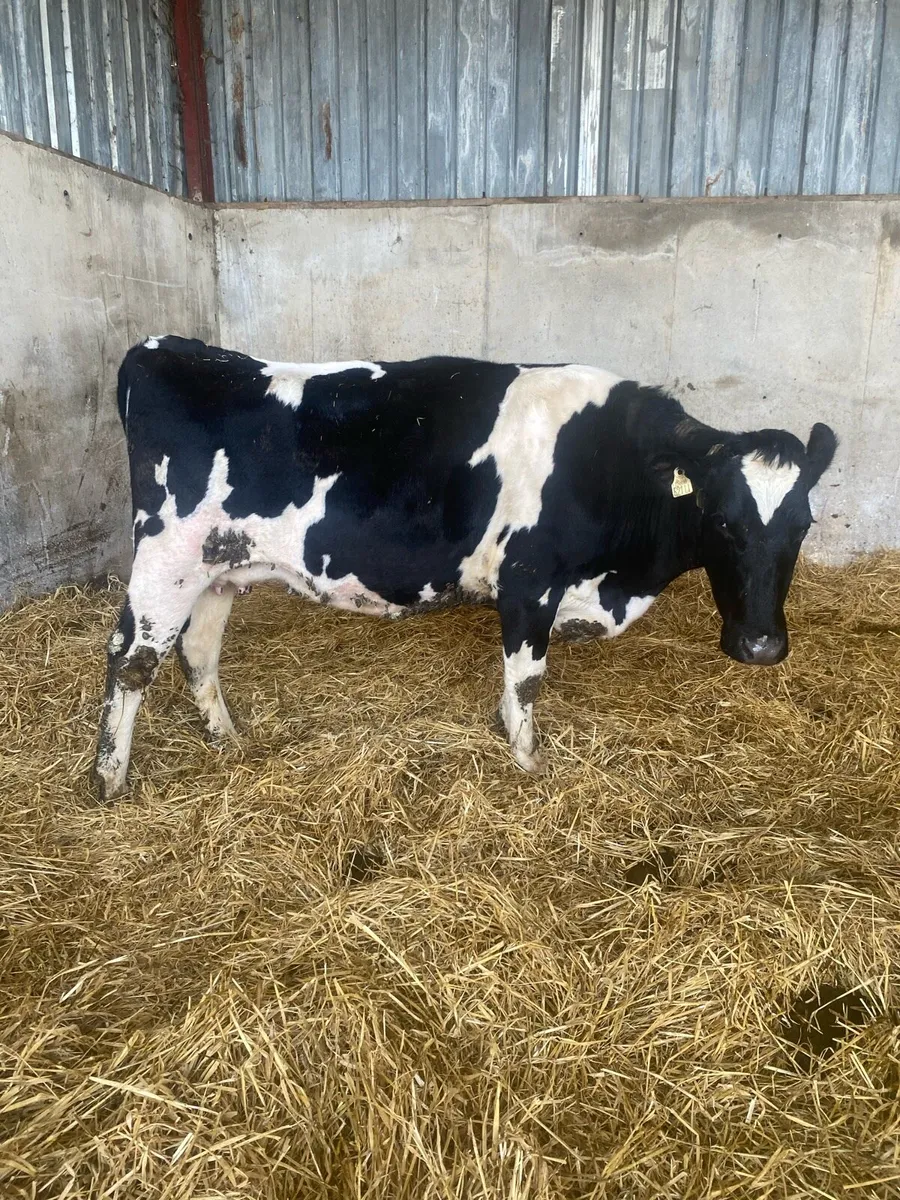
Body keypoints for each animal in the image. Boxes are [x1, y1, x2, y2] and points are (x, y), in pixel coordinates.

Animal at [93, 335, 837, 802]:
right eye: (723, 522)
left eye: (802, 525)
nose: (762, 646)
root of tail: (171, 347)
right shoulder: (531, 580)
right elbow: (528, 678)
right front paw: (529, 762)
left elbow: (513, 680)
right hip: (165, 554)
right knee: (131, 659)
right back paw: (107, 781)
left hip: (219, 564)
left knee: (198, 651)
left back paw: (228, 741)